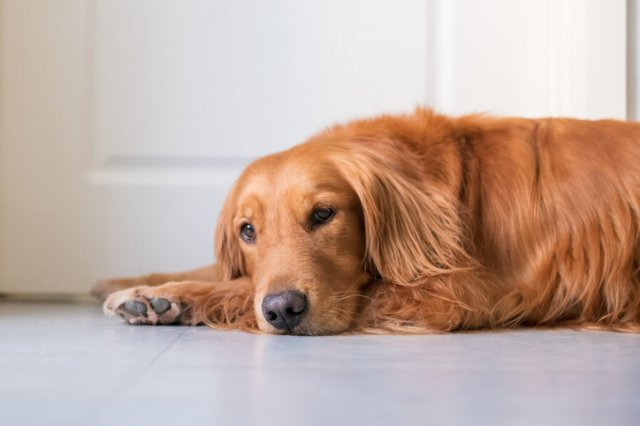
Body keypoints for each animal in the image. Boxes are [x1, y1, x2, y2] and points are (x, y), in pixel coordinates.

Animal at [92, 108, 640, 334]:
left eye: (323, 214)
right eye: (248, 231)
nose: (283, 311)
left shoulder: (447, 292)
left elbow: (237, 287)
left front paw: (172, 298)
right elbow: (227, 273)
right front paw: (135, 286)